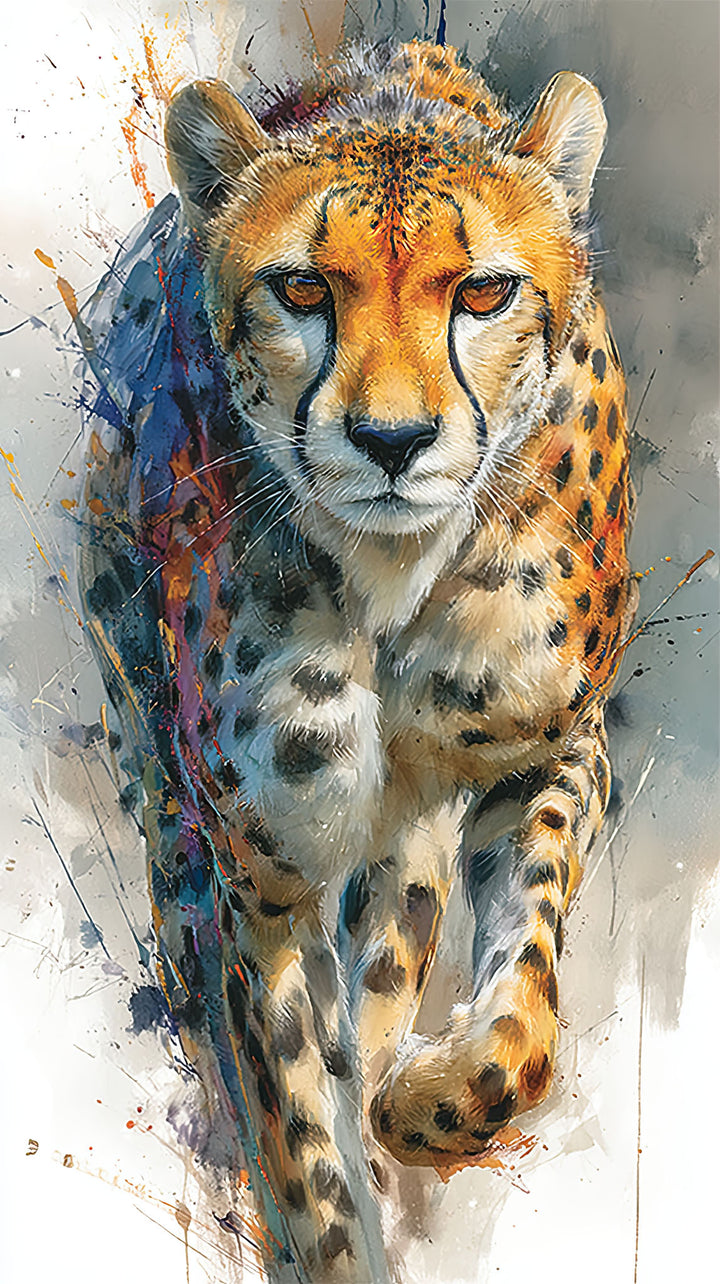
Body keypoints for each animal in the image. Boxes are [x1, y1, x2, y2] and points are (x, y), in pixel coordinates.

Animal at [78, 39, 637, 1284]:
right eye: (300, 290)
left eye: (481, 292)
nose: (391, 441)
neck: (390, 579)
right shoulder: (259, 881)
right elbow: (298, 1149)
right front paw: (336, 1209)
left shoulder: (552, 749)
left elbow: (520, 1021)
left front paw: (419, 1100)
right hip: (166, 805)